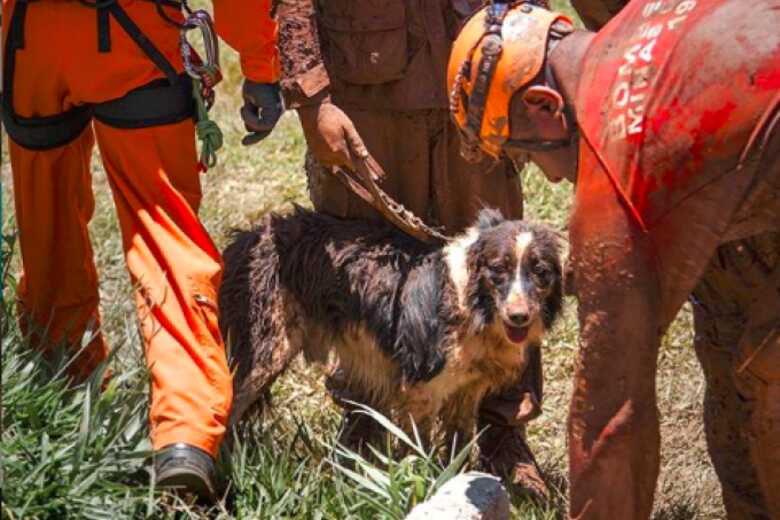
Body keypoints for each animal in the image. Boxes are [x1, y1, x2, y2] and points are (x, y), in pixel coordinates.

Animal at [218, 209, 560, 448]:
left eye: (541, 272)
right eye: (498, 269)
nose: (519, 317)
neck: (473, 305)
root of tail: (245, 237)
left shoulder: (466, 391)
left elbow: (458, 451)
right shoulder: (422, 388)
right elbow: (417, 451)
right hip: (265, 352)